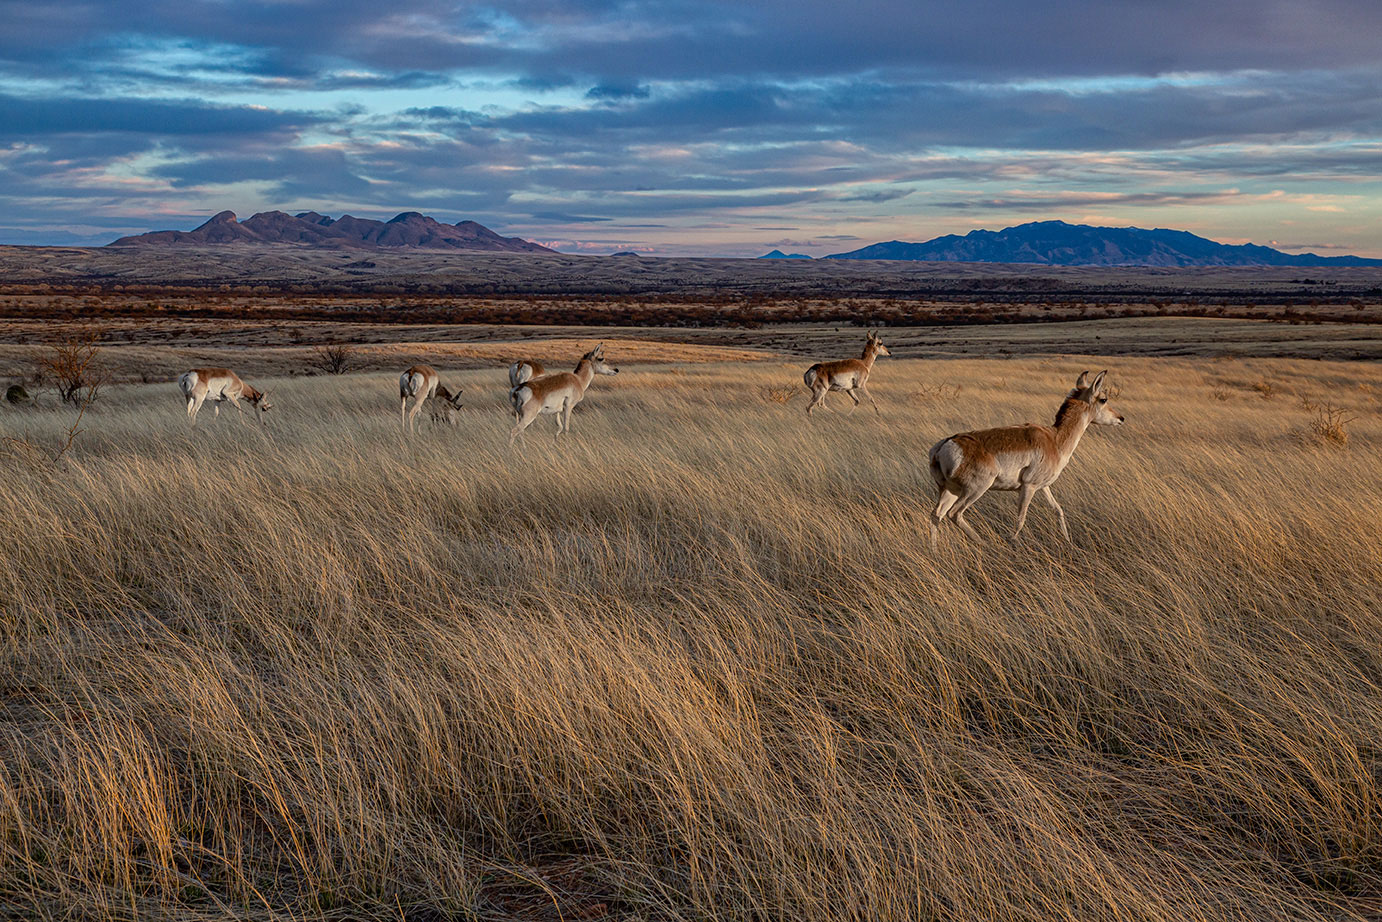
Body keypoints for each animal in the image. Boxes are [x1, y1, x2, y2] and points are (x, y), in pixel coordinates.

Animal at [927, 370, 1124, 548]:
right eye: (1103, 399)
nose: (1121, 418)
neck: (1054, 439)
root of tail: (945, 445)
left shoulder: (1043, 487)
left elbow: (1058, 510)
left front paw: (1068, 542)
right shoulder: (1028, 487)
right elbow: (1020, 521)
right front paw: (1012, 543)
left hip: (950, 491)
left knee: (937, 514)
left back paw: (934, 550)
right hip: (975, 490)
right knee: (954, 514)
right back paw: (986, 544)